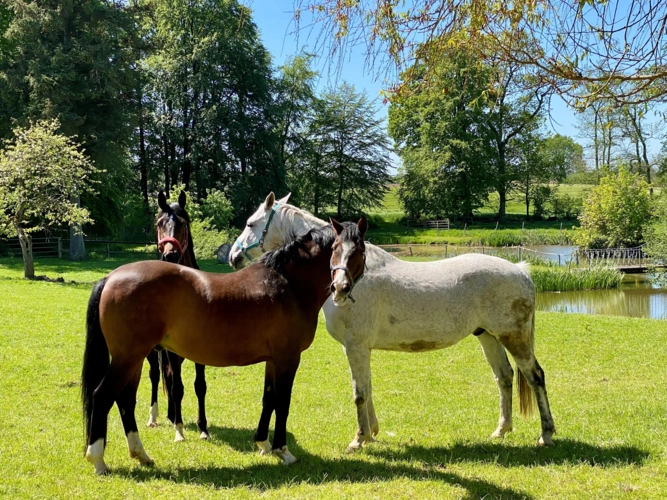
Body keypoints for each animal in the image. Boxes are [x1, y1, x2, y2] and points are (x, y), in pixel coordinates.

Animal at [81, 216, 367, 475]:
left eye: (359, 251)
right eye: (335, 249)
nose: (340, 288)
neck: (287, 284)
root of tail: (110, 277)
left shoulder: (273, 360)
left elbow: (268, 398)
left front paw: (263, 444)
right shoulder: (288, 358)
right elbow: (282, 402)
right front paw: (282, 451)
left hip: (134, 359)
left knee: (125, 400)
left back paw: (141, 455)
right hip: (128, 358)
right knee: (103, 396)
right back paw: (98, 460)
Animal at [143, 191, 209, 441]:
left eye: (183, 223)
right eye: (159, 223)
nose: (170, 254)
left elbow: (199, 385)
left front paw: (203, 428)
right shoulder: (170, 351)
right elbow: (177, 386)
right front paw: (179, 431)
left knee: (169, 377)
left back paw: (172, 414)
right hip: (152, 351)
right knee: (155, 376)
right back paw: (154, 417)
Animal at [230, 193, 556, 452]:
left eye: (250, 224)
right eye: (334, 250)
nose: (232, 256)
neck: (356, 277)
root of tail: (521, 270)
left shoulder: (356, 347)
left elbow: (359, 393)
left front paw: (358, 440)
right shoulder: (359, 349)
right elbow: (368, 388)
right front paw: (372, 433)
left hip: (514, 337)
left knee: (535, 376)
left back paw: (546, 434)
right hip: (487, 336)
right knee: (504, 377)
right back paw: (501, 431)